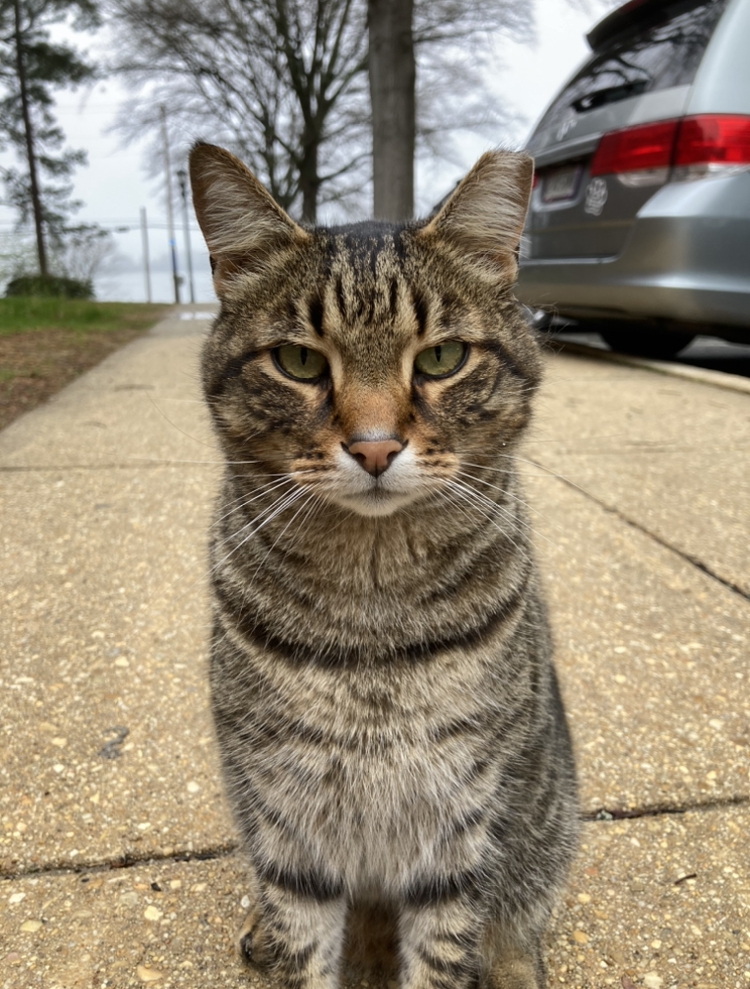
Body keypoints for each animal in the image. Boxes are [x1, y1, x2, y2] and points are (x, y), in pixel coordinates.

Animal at [191, 141, 580, 988]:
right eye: (299, 361)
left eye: (442, 356)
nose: (374, 447)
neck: (371, 602)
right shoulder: (286, 819)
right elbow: (304, 944)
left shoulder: (461, 825)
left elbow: (443, 954)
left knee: (516, 933)